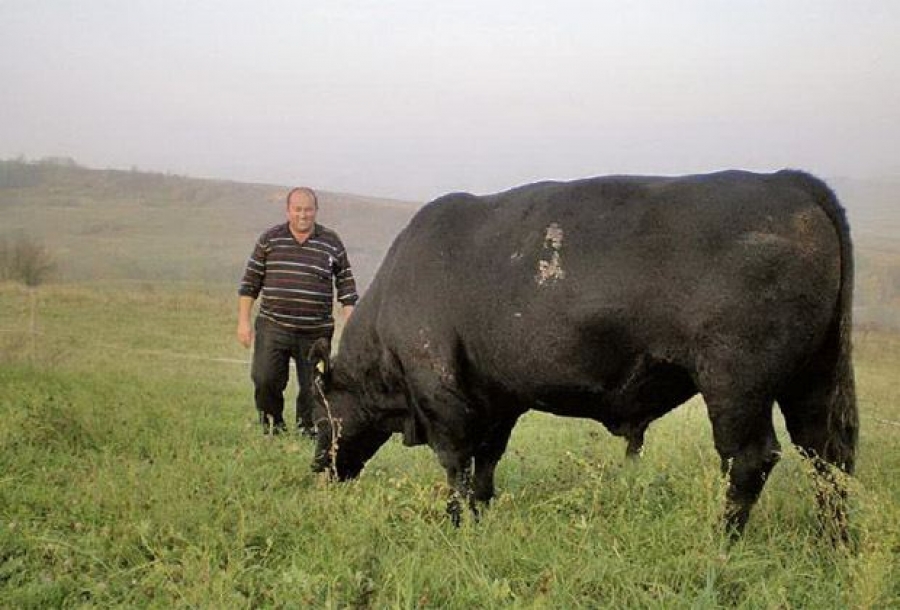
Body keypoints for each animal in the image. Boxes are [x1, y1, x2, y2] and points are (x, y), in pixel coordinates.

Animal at [310, 169, 856, 536]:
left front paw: (456, 522)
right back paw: (833, 542)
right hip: (814, 380)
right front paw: (482, 516)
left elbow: (457, 465)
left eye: (318, 415)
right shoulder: (496, 401)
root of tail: (784, 181)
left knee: (750, 458)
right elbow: (485, 465)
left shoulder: (442, 397)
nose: (319, 469)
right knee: (828, 454)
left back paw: (723, 538)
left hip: (736, 386)